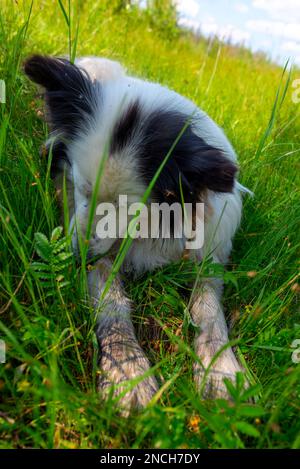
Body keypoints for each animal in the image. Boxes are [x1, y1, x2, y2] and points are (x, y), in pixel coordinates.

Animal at [24, 54, 252, 410]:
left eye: (129, 208)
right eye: (82, 188)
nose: (78, 256)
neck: (156, 225)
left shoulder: (210, 252)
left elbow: (210, 310)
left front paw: (221, 371)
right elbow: (113, 304)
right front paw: (128, 375)